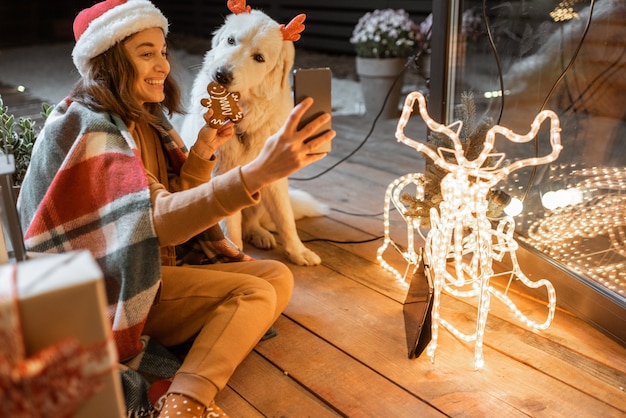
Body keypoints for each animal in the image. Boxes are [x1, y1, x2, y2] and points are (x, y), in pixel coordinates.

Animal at [180, 1, 326, 266]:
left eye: (259, 58)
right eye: (231, 40)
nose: (222, 75)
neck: (242, 113)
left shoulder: (275, 176)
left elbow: (285, 218)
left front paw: (298, 251)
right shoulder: (221, 173)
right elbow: (230, 224)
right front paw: (235, 254)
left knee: (253, 220)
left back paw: (259, 234)